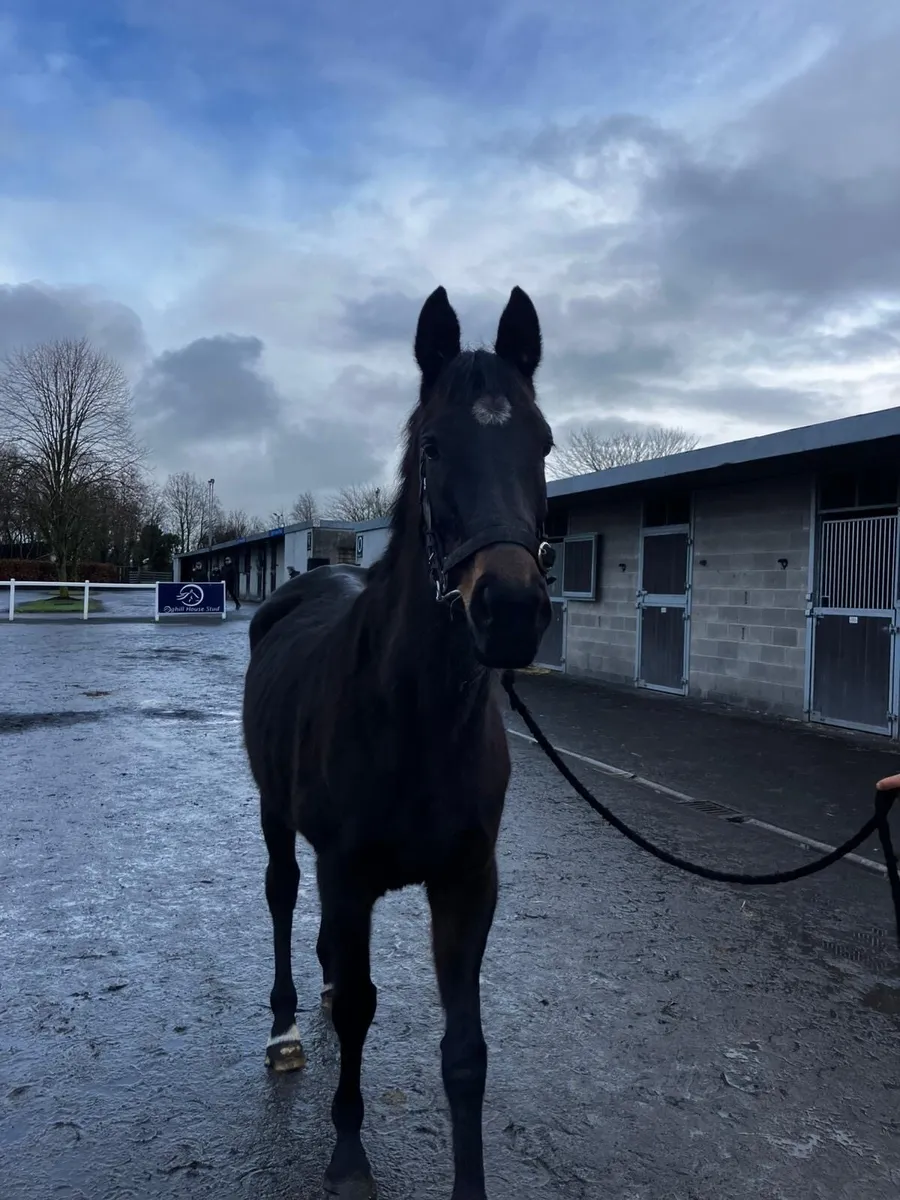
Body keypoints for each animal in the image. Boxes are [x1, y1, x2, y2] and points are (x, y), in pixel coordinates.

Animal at [241, 284, 555, 1200]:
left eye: (542, 443)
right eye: (435, 445)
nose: (509, 611)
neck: (413, 715)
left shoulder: (466, 883)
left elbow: (466, 1053)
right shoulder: (350, 875)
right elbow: (359, 1012)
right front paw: (349, 1158)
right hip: (274, 814)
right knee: (281, 896)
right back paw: (284, 1028)